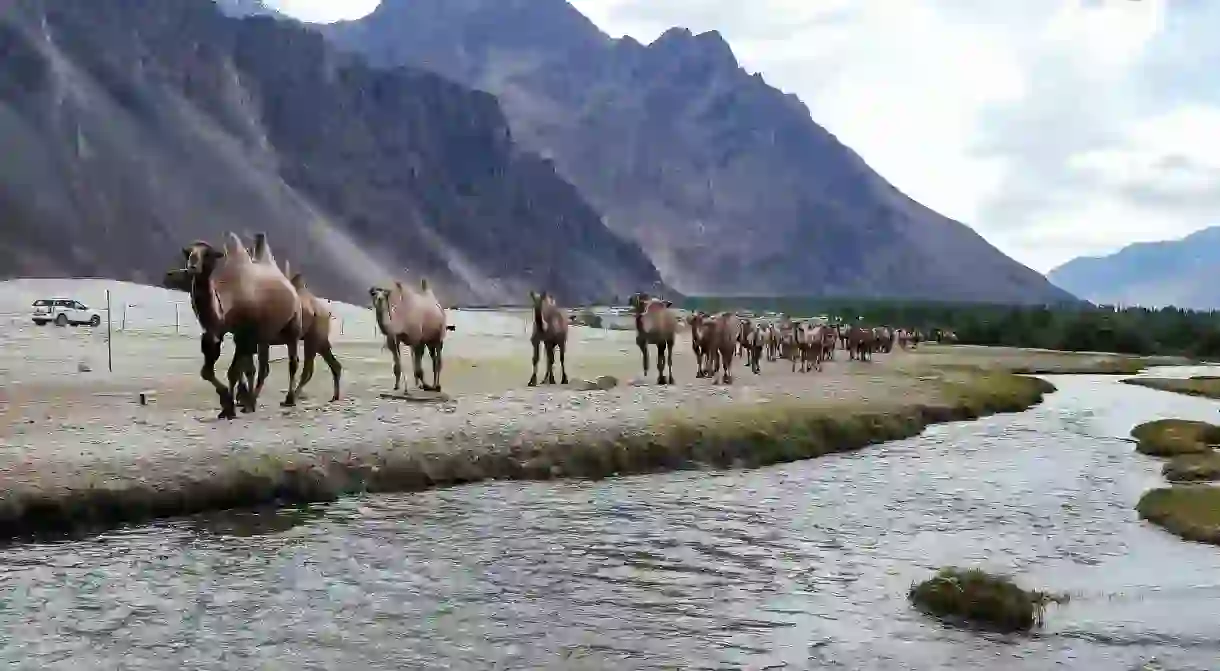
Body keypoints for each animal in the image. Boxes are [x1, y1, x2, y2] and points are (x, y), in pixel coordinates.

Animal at [178, 234, 303, 417]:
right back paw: (252, 399)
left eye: (207, 254)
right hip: (264, 335)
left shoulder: (245, 333)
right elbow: (209, 371)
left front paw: (231, 405)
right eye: (188, 252)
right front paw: (228, 405)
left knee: (292, 362)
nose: (192, 266)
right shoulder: (218, 332)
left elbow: (234, 371)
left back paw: (288, 399)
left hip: (293, 326)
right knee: (263, 368)